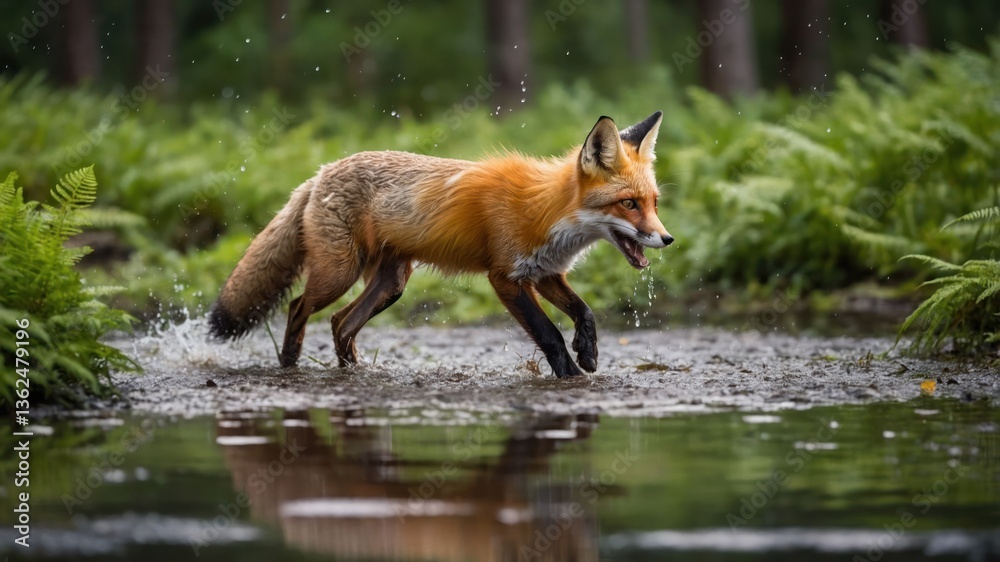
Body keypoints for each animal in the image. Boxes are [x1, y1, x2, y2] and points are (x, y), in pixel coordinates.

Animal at [208, 111, 674, 378]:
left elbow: (585, 312)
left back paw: (352, 373)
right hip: (338, 274)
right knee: (297, 307)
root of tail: (319, 172)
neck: (546, 211)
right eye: (628, 204)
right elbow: (549, 335)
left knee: (341, 324)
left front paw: (589, 353)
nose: (666, 238)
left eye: (653, 203)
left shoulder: (544, 273)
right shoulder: (505, 278)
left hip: (391, 284)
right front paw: (572, 375)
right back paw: (290, 364)